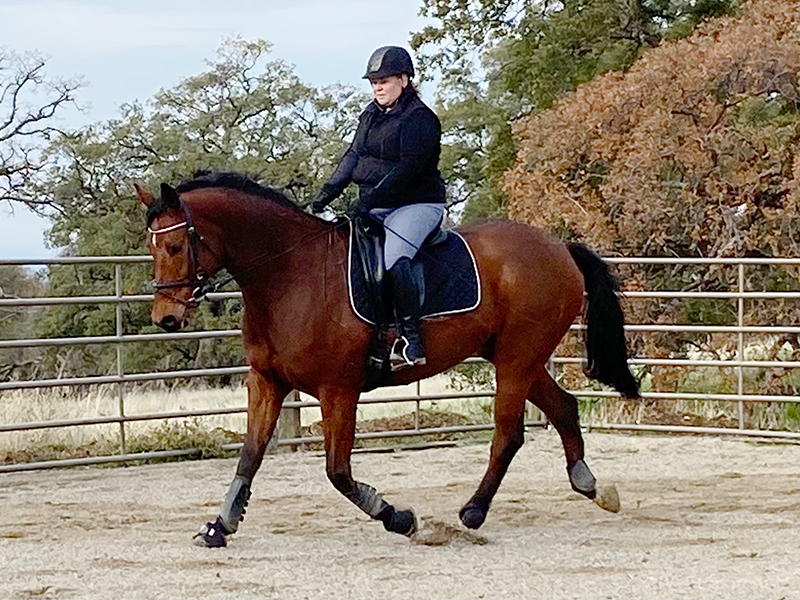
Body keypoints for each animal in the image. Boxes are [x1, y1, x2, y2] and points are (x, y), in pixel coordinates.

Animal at [136, 171, 636, 548]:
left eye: (176, 247)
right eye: (151, 247)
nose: (166, 318)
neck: (290, 274)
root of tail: (558, 247)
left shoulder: (338, 391)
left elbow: (338, 472)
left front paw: (400, 518)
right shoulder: (267, 382)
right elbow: (250, 456)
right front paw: (218, 526)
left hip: (517, 359)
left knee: (507, 434)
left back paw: (473, 511)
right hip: (519, 359)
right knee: (563, 407)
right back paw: (592, 487)